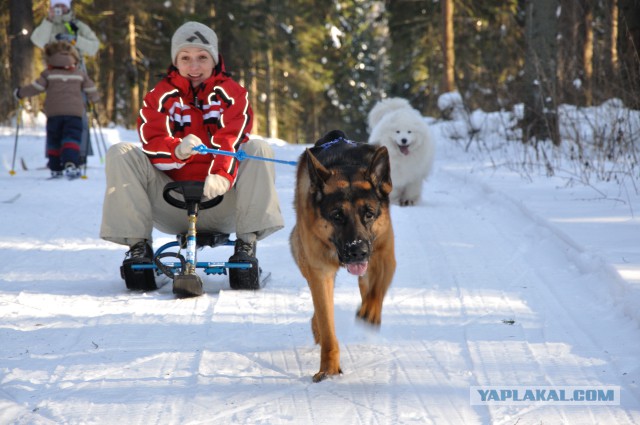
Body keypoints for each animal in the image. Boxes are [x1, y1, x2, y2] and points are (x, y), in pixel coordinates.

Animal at [290, 128, 396, 380]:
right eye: (337, 215)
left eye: (369, 214)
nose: (357, 251)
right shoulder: (320, 273)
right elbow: (327, 325)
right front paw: (328, 370)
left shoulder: (385, 254)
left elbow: (376, 289)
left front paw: (370, 311)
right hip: (300, 250)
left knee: (366, 286)